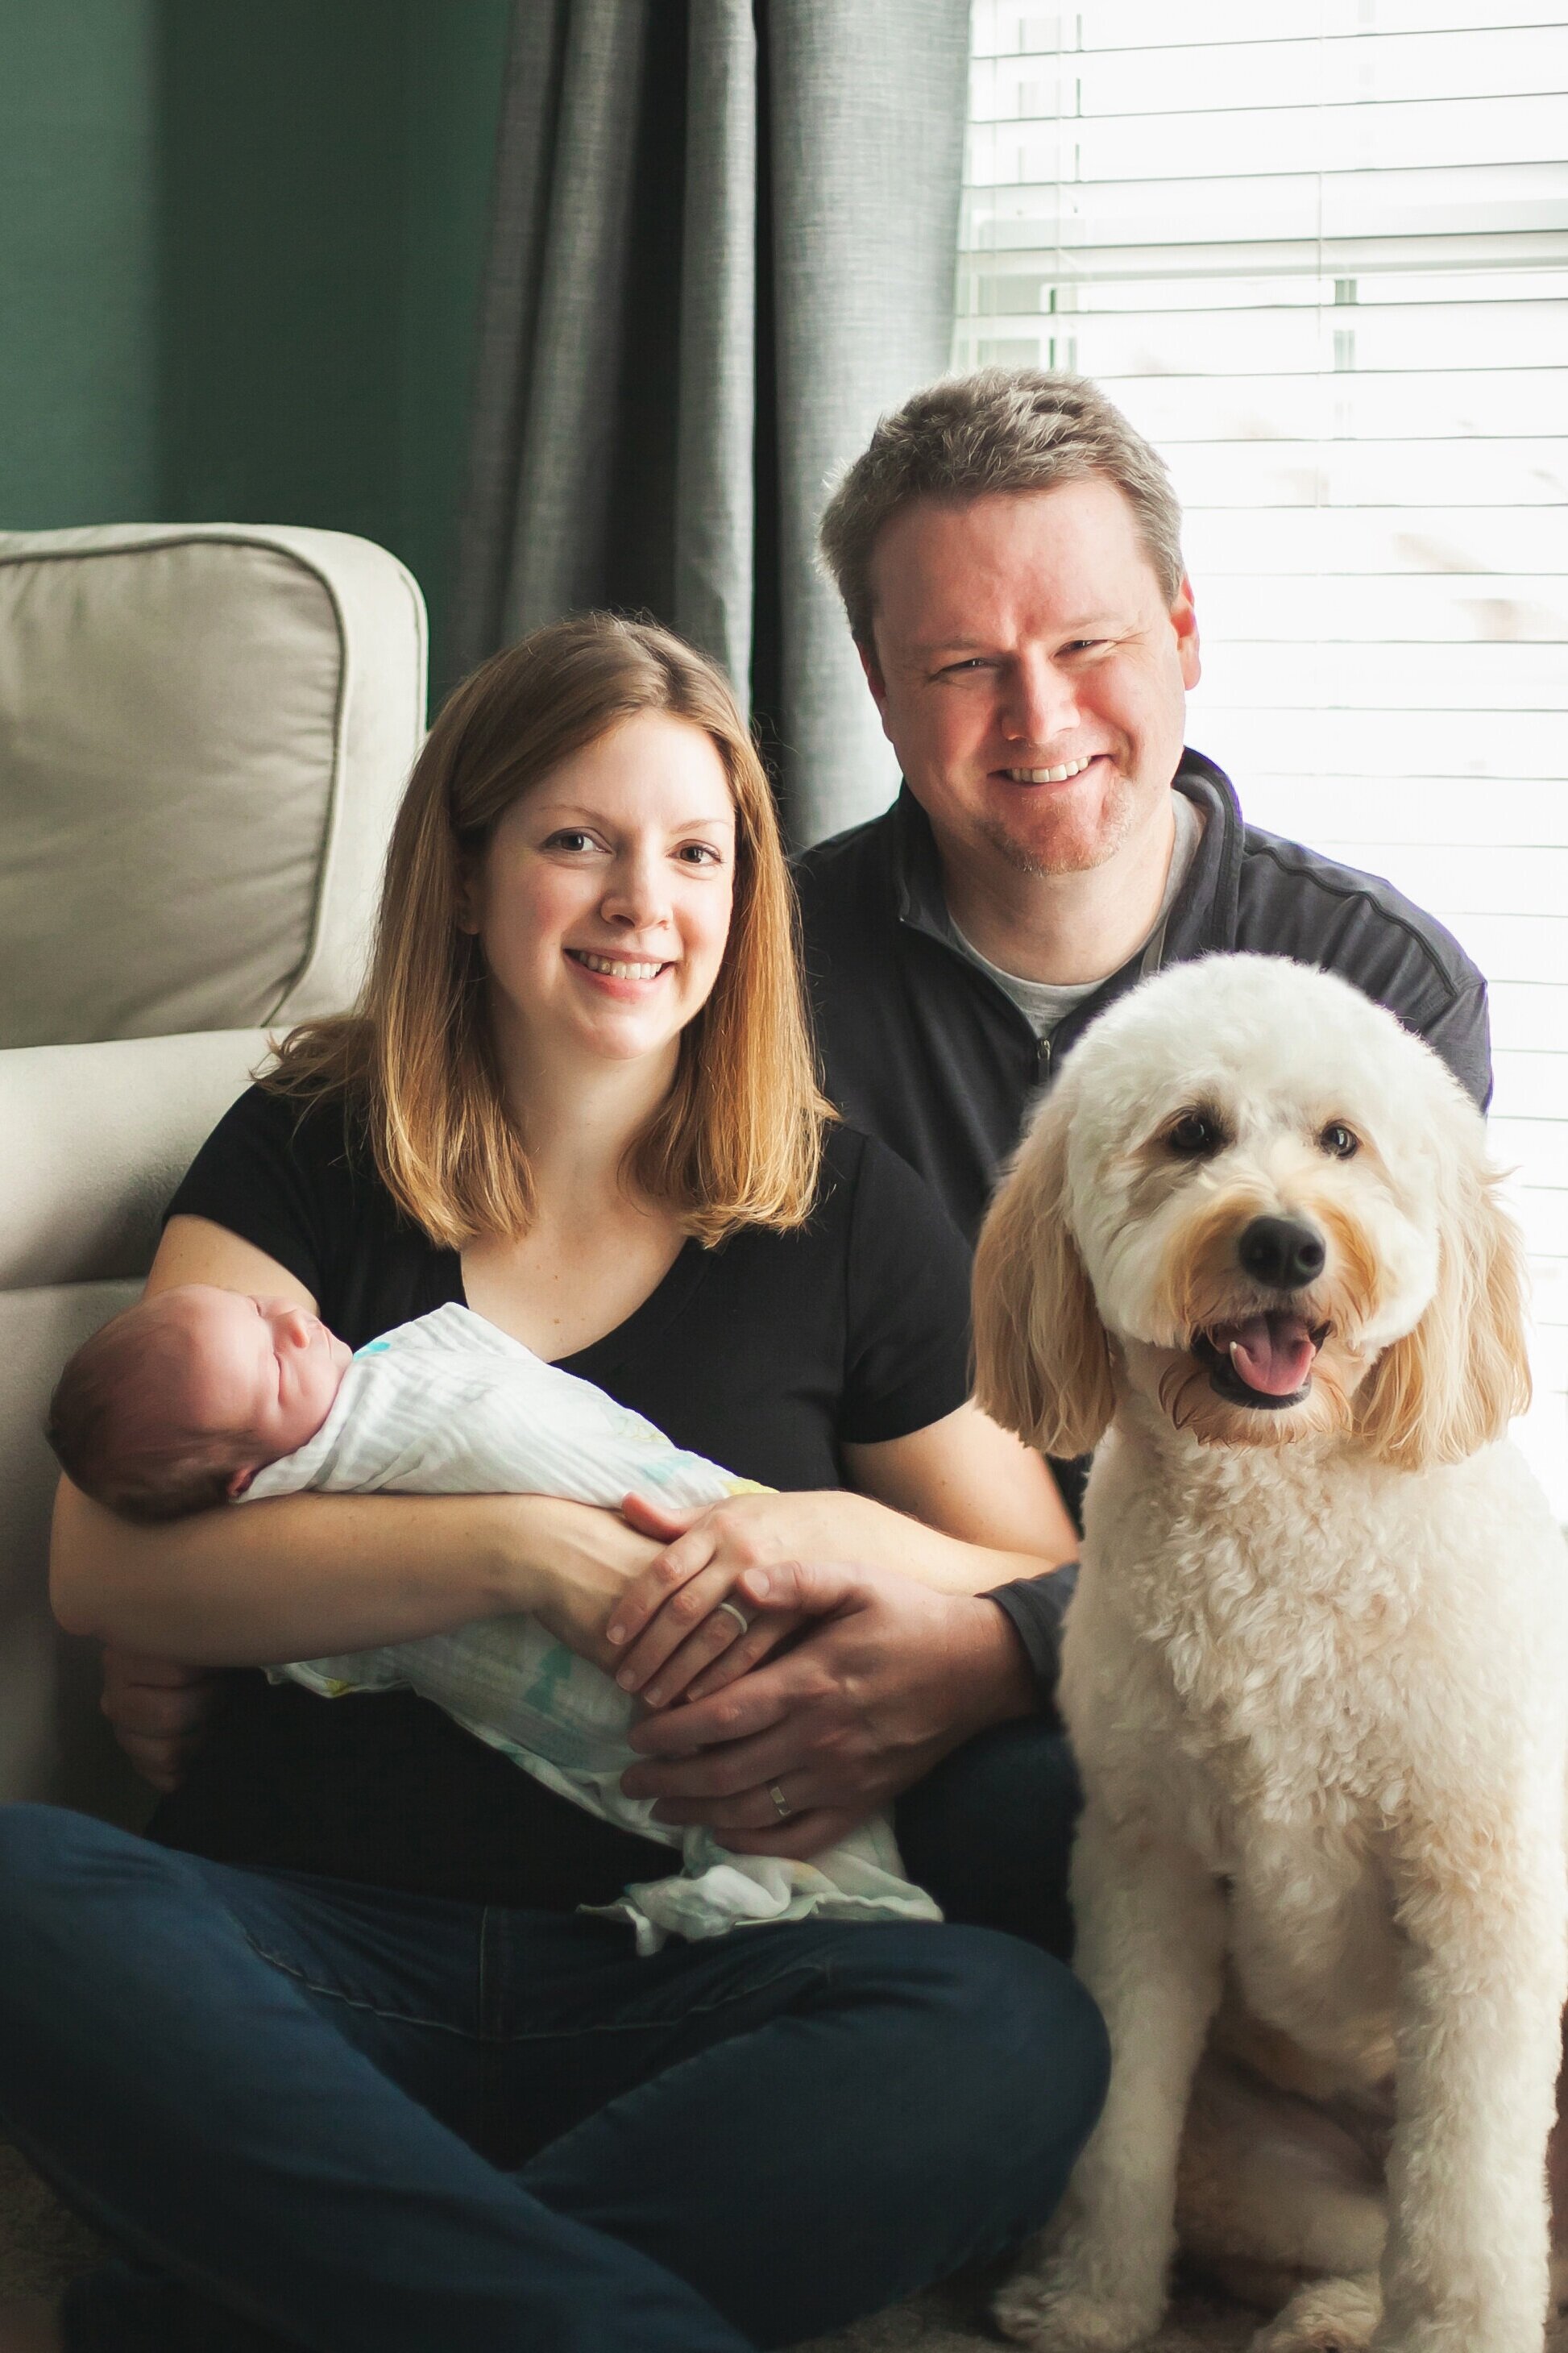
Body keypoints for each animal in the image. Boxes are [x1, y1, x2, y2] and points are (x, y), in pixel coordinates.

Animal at [969, 955, 1553, 2353]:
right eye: (1190, 1133)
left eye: (1342, 1141)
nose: (1284, 1243)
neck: (1275, 1521)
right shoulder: (1145, 1860)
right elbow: (1118, 2121)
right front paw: (1087, 2300)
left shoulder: (1477, 1899)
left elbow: (1466, 2207)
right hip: (1259, 2163)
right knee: (1362, 2234)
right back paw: (1334, 2314)